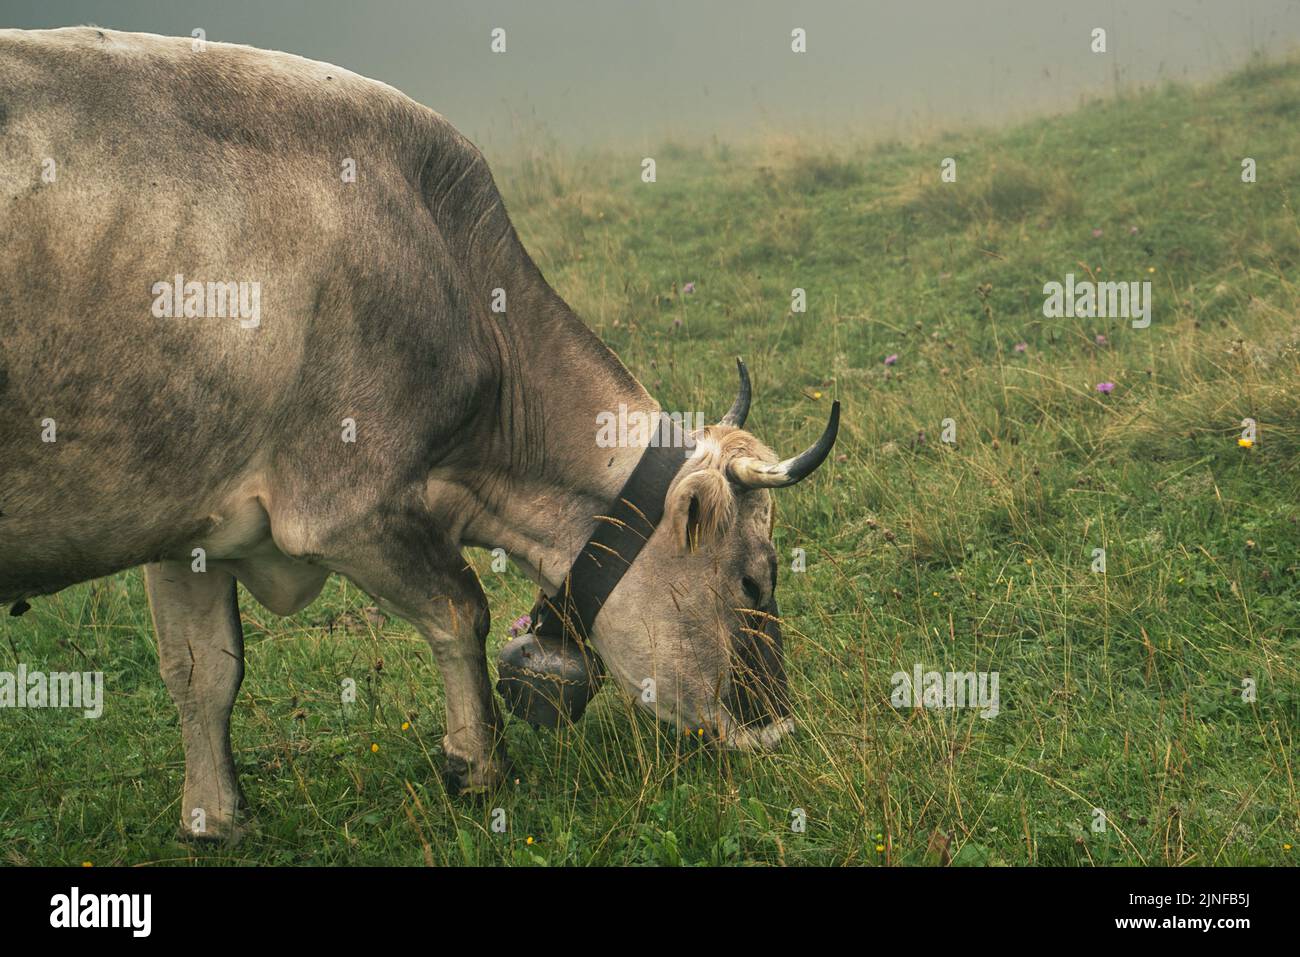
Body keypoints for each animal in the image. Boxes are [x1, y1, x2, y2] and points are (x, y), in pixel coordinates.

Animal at [0, 27, 837, 837]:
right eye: (755, 578)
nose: (782, 729)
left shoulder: (187, 518)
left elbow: (204, 668)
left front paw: (215, 818)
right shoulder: (343, 508)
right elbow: (462, 608)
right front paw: (479, 765)